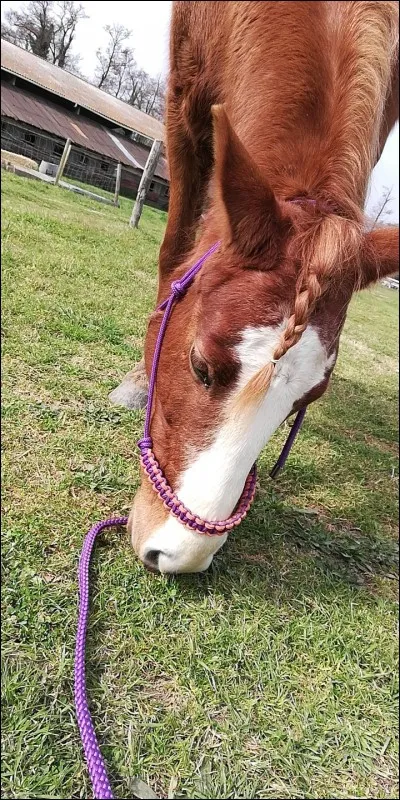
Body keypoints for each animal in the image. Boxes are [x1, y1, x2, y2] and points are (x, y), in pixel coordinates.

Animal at [112, 1, 399, 573]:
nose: (179, 556)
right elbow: (174, 249)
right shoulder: (184, 101)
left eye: (307, 400)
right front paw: (138, 379)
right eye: (200, 365)